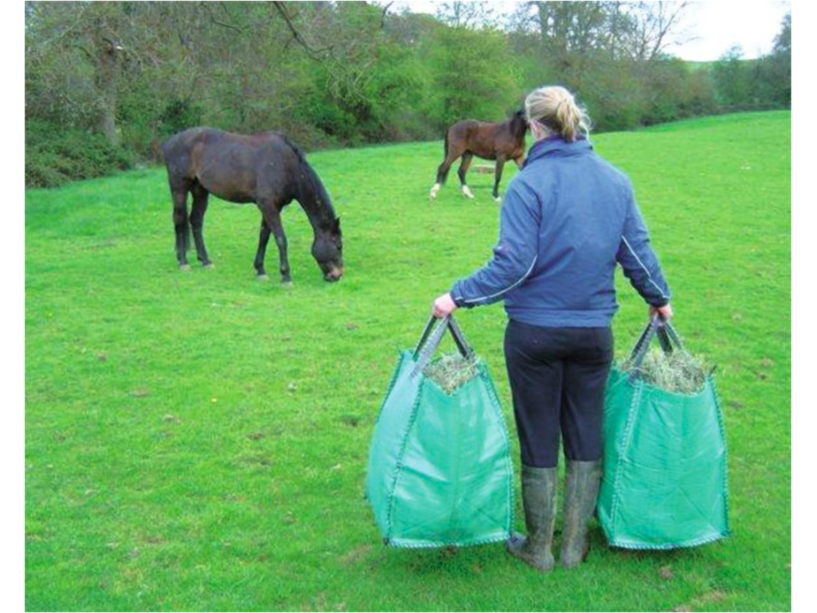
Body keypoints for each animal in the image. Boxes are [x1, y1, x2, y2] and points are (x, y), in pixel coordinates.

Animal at [163, 128, 342, 286]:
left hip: (200, 190)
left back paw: (205, 260)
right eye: (338, 246)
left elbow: (264, 237)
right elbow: (280, 239)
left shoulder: (270, 208)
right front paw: (285, 276)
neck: (285, 166)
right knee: (179, 219)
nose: (337, 275)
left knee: (196, 221)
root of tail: (170, 142)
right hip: (179, 187)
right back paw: (183, 261)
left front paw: (260, 270)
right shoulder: (268, 206)